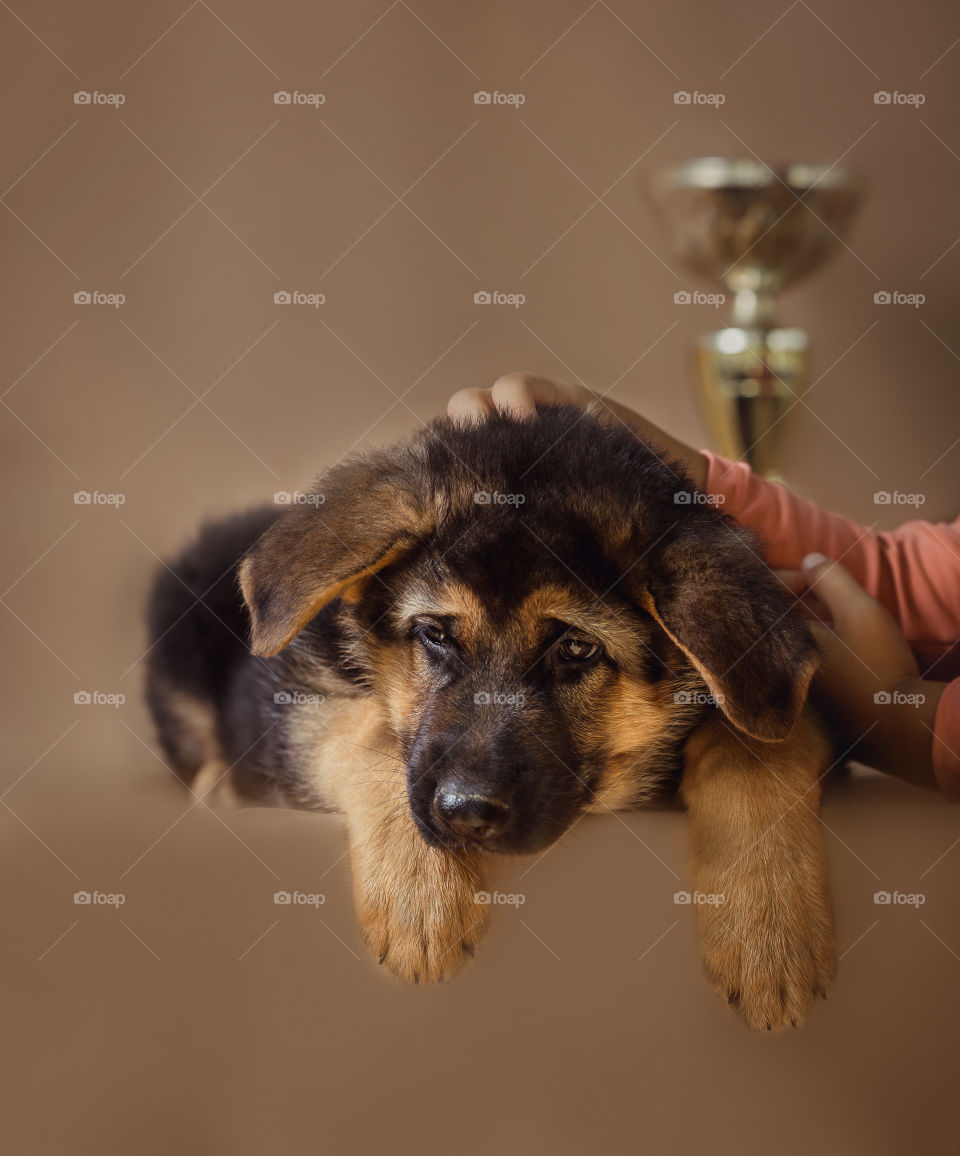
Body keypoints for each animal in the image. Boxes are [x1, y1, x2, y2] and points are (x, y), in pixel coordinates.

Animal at [146, 406, 837, 1031]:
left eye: (576, 648)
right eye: (435, 634)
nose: (465, 813)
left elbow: (754, 742)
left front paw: (770, 931)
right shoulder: (296, 701)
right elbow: (372, 727)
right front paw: (421, 894)